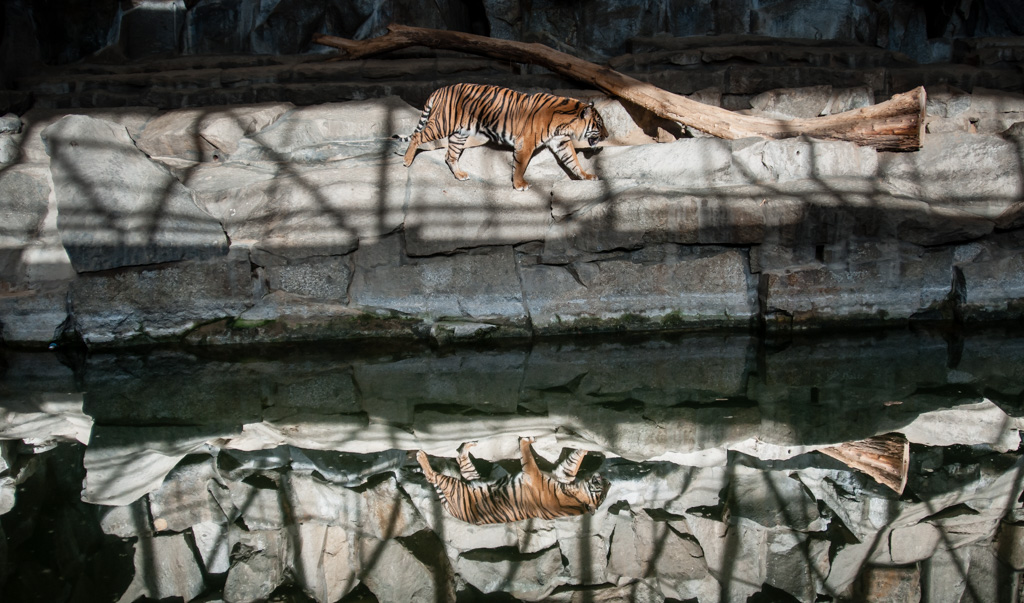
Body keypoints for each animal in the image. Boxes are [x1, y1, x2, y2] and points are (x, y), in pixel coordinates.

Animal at [398, 83, 607, 191]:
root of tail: (441, 88)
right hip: (443, 124)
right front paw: (519, 184)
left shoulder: (561, 142)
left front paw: (586, 176)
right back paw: (407, 160)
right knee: (417, 135)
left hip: (459, 133)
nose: (607, 135)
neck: (565, 124)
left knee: (450, 155)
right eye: (599, 124)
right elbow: (521, 166)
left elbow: (573, 161)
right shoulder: (525, 143)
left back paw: (460, 175)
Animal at [415, 437, 610, 525]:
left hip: (457, 486)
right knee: (461, 459)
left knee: (433, 475)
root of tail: (454, 512)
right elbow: (574, 462)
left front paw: (525, 441)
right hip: (472, 477)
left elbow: (528, 458)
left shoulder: (533, 475)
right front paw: (587, 447)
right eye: (605, 488)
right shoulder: (561, 473)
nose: (605, 479)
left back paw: (421, 455)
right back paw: (469, 444)